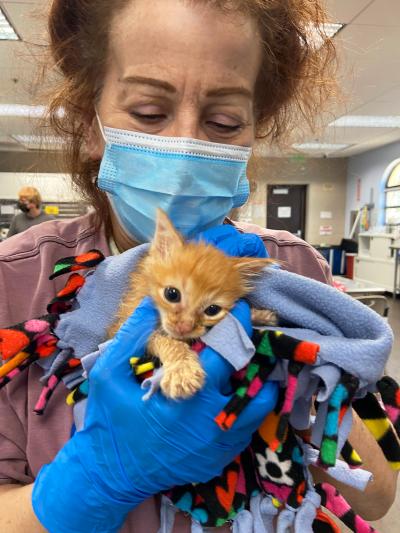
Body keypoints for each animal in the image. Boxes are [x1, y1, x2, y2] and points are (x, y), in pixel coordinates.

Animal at [108, 210, 276, 396]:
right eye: (172, 294)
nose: (185, 327)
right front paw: (182, 370)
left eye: (212, 310)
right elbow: (167, 341)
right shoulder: (123, 324)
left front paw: (260, 315)